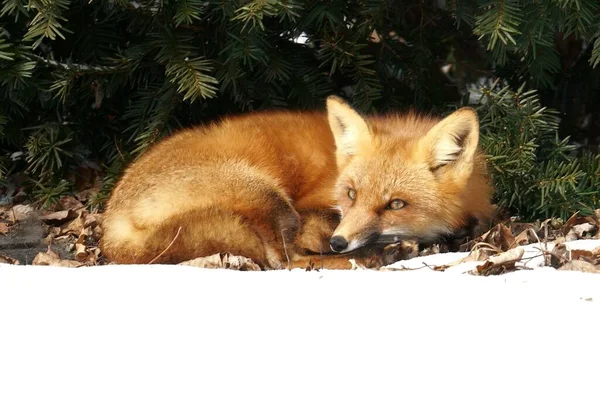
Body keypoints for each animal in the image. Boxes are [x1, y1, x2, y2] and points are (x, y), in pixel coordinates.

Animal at [101, 97, 494, 270]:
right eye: (350, 194)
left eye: (396, 204)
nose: (338, 242)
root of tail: (110, 226)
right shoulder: (311, 211)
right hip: (268, 196)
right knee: (287, 262)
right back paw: (381, 256)